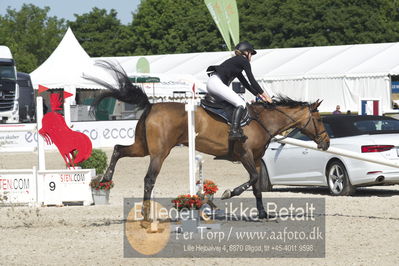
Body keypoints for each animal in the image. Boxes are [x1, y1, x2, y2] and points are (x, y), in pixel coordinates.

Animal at [85, 61, 332, 219]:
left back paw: (106, 179)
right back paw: (146, 213)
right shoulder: (245, 154)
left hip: (142, 147)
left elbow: (257, 187)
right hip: (159, 152)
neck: (263, 120)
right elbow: (252, 179)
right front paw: (228, 193)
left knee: (119, 148)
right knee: (149, 179)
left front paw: (263, 213)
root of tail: (152, 106)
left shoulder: (256, 158)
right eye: (320, 119)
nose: (327, 142)